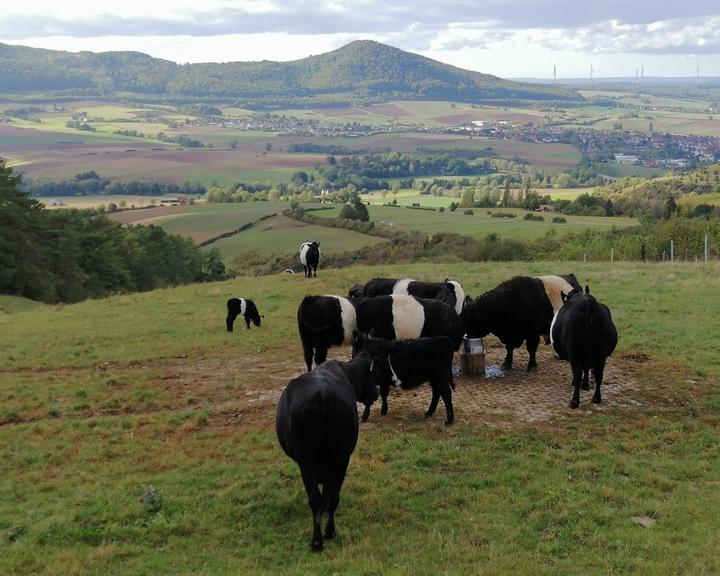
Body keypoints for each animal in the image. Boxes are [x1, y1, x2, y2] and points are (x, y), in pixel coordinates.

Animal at [274, 356, 380, 548]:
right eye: (373, 375)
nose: (376, 393)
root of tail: (323, 395)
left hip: (307, 462)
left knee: (315, 499)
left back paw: (317, 540)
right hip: (341, 458)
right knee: (333, 497)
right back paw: (330, 532)